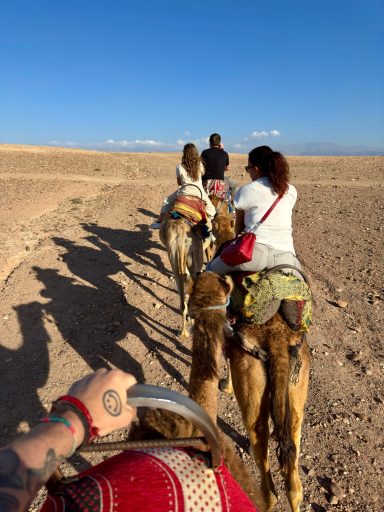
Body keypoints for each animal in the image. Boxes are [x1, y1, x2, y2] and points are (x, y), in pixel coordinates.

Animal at [188, 272, 310, 512]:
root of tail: (277, 343)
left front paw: (226, 386)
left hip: (252, 383)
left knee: (269, 490)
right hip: (297, 391)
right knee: (295, 484)